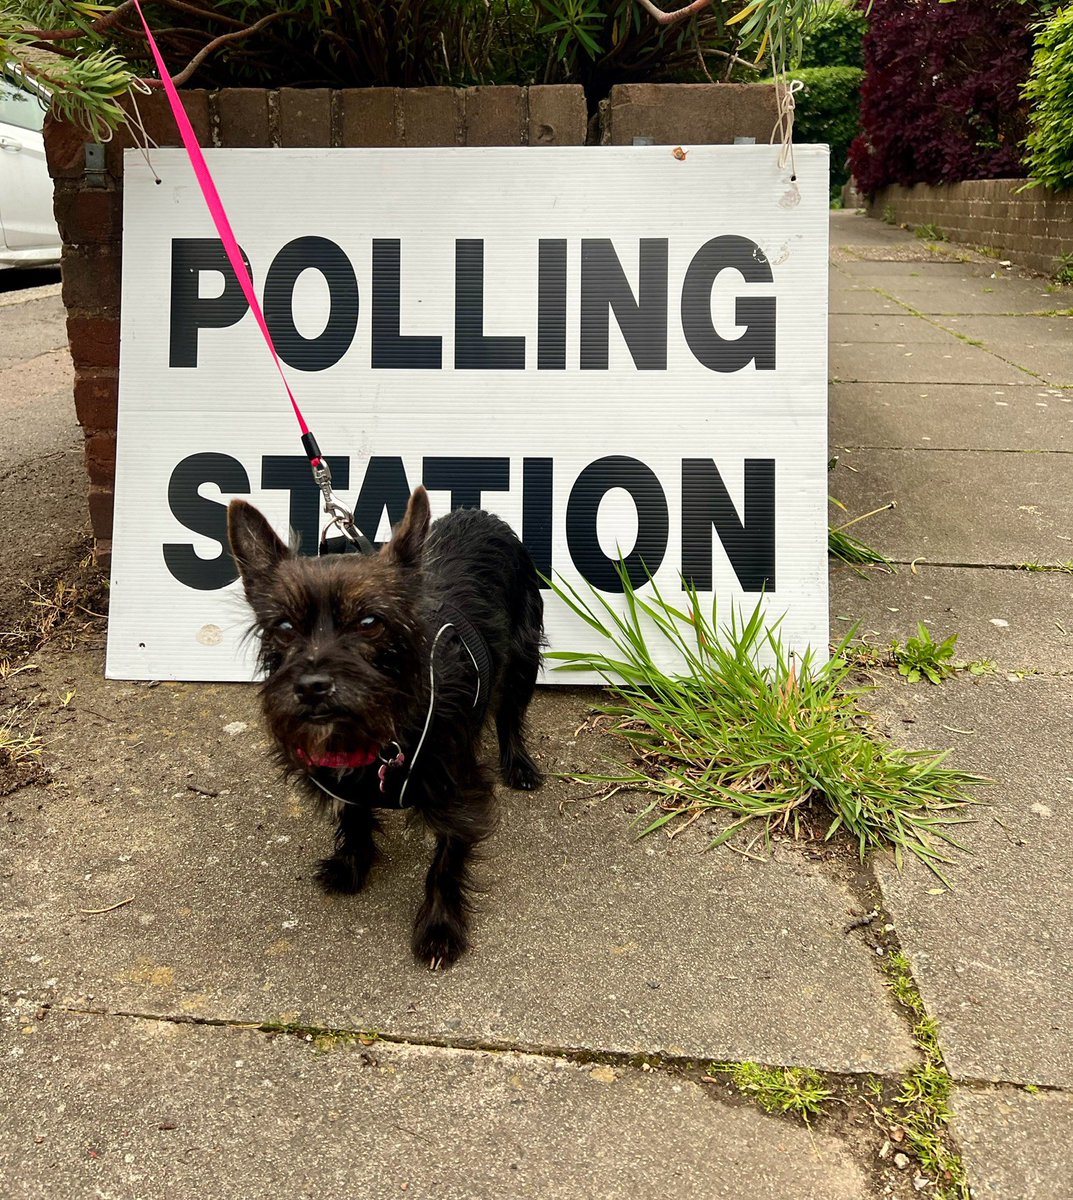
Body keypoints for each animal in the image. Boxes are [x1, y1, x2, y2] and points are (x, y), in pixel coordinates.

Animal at [228, 484, 547, 964]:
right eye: (283, 626)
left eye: (369, 622)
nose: (312, 687)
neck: (381, 728)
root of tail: (482, 514)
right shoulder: (342, 780)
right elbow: (354, 817)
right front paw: (353, 865)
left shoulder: (459, 792)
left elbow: (446, 860)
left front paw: (440, 926)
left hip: (523, 660)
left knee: (511, 715)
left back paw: (520, 765)